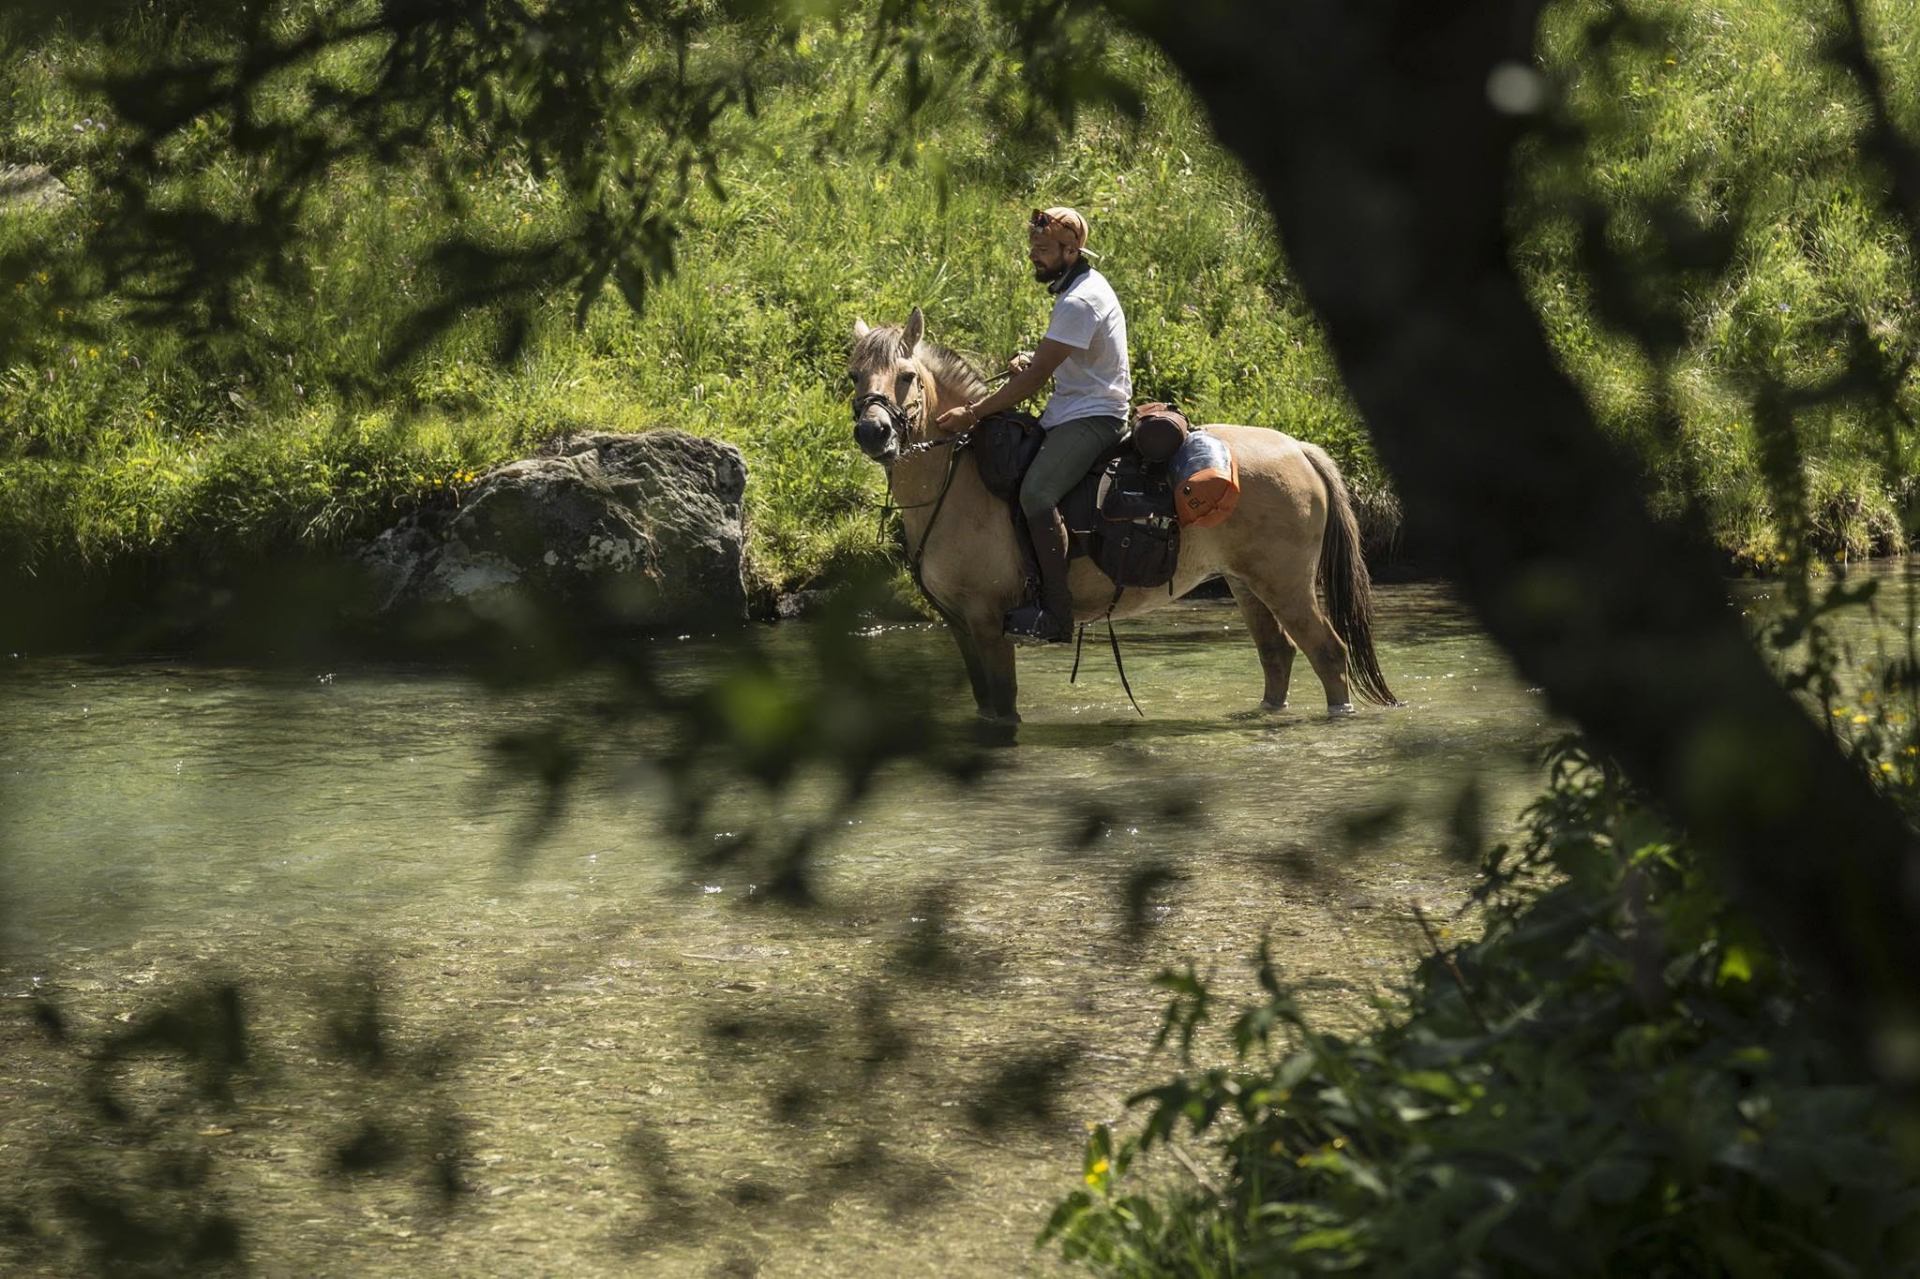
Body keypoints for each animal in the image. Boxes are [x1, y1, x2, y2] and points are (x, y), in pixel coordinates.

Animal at [847, 307, 1395, 724]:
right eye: (854, 375)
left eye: (907, 376)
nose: (873, 433)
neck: (958, 481)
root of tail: (1299, 448)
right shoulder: (962, 628)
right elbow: (986, 705)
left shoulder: (987, 623)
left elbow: (1003, 709)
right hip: (1247, 584)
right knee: (1277, 655)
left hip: (1286, 584)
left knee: (1329, 653)